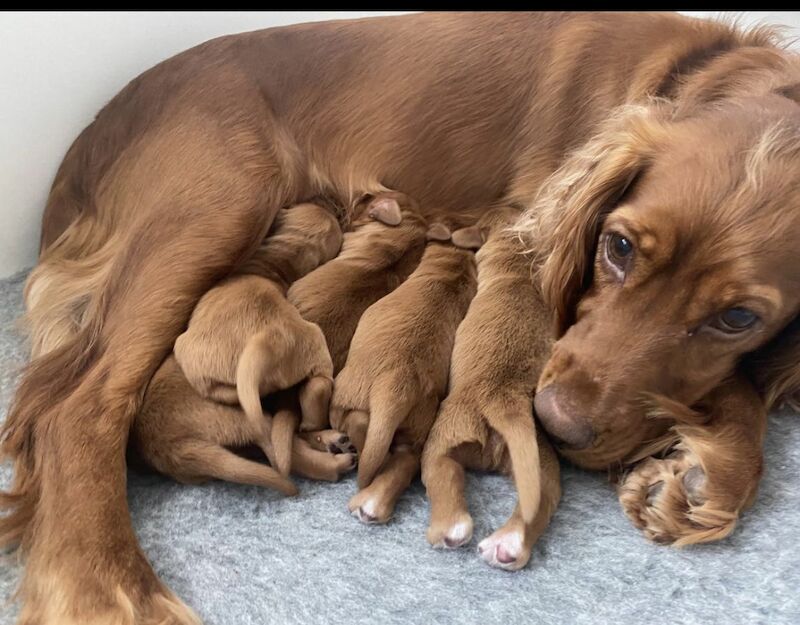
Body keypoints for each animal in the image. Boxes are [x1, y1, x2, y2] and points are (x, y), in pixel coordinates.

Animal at [174, 201, 340, 438]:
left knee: (222, 390)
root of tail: (274, 339)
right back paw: (311, 426)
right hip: (318, 354)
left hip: (189, 351)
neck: (273, 265)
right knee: (318, 387)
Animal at [330, 227, 476, 524]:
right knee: (406, 455)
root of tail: (398, 384)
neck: (450, 274)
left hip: (343, 395)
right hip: (419, 421)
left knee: (360, 424)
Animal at [424, 211, 556, 572]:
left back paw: (450, 529)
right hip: (538, 461)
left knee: (444, 475)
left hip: (444, 440)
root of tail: (502, 400)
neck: (520, 262)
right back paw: (507, 544)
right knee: (540, 500)